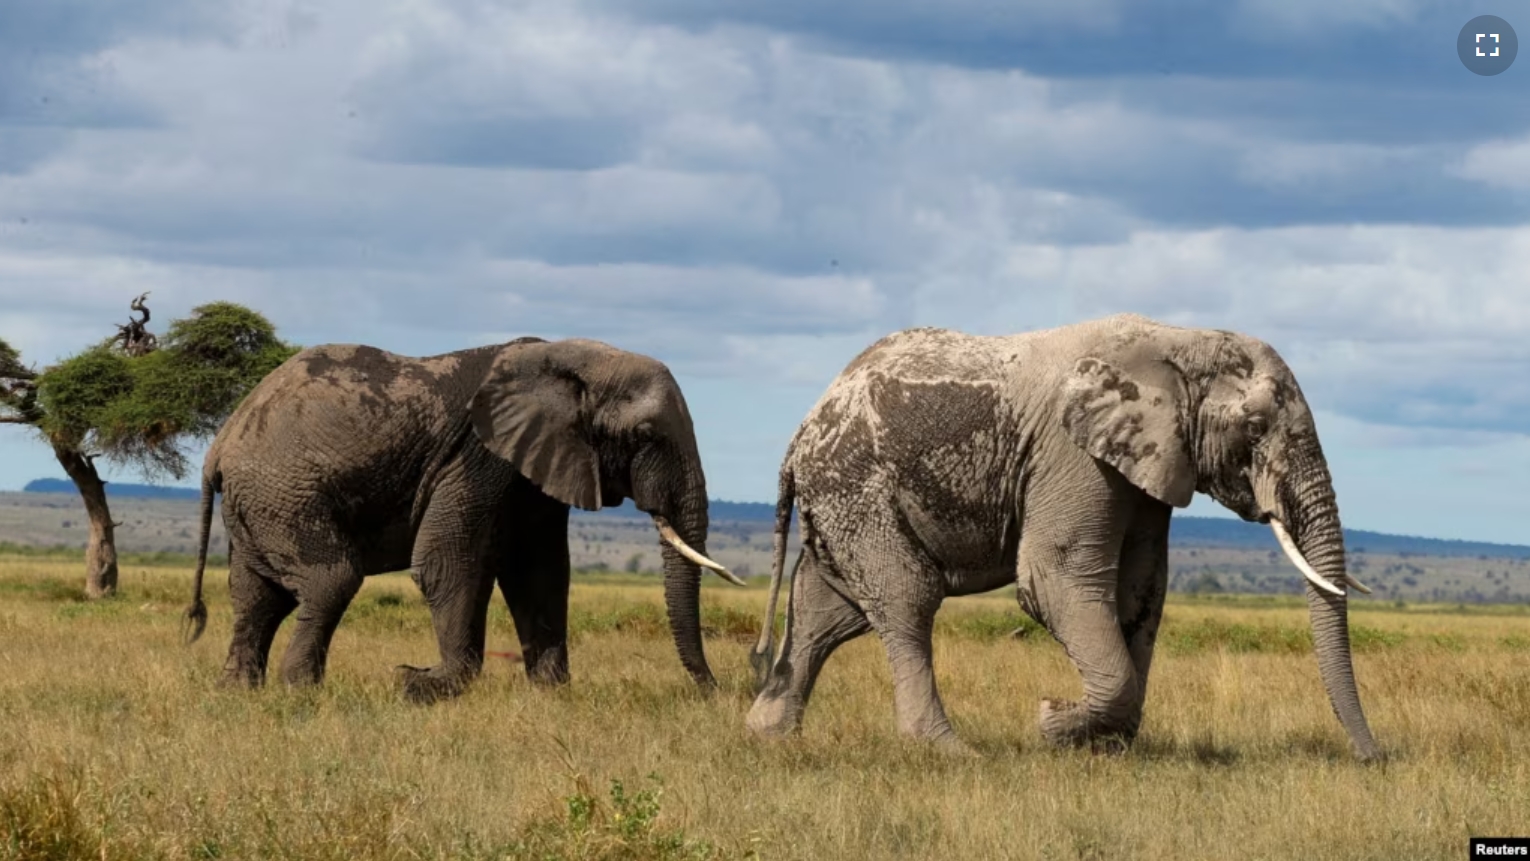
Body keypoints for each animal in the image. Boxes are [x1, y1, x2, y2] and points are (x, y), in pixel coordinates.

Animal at [182, 333, 743, 703]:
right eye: (644, 435)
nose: (714, 692)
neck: (564, 357)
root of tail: (221, 444)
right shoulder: (477, 457)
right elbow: (447, 564)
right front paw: (420, 683)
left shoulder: (536, 468)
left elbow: (539, 572)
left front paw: (551, 694)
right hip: (285, 494)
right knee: (329, 581)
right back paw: (300, 692)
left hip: (261, 504)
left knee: (256, 595)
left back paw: (239, 692)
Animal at [746, 311, 1383, 761]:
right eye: (1253, 427)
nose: (1375, 758)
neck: (1180, 341)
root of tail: (803, 429)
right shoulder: (1070, 454)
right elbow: (1053, 576)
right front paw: (1054, 722)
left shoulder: (1147, 463)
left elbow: (1142, 589)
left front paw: (1108, 748)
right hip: (857, 485)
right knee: (906, 598)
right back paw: (949, 751)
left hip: (843, 497)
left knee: (826, 610)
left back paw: (768, 735)